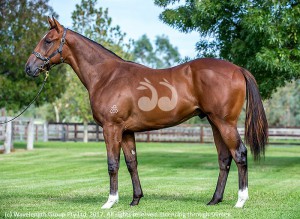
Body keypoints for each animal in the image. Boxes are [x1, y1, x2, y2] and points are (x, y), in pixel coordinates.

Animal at [25, 17, 268, 209]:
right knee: (224, 158)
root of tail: (238, 69)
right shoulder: (126, 131)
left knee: (240, 154)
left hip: (225, 123)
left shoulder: (111, 128)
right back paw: (215, 200)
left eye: (48, 40)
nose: (29, 68)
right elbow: (131, 163)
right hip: (214, 123)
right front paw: (135, 199)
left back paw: (240, 201)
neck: (107, 76)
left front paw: (110, 201)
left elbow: (112, 164)